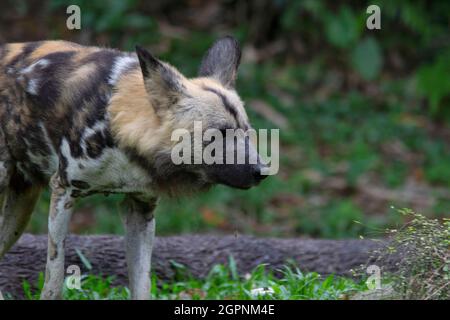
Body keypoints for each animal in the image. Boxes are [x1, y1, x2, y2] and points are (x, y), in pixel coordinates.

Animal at [0, 37, 268, 300]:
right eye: (217, 135)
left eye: (247, 132)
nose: (262, 171)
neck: (121, 130)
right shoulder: (64, 191)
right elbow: (54, 282)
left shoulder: (141, 209)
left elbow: (142, 285)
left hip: (20, 211)